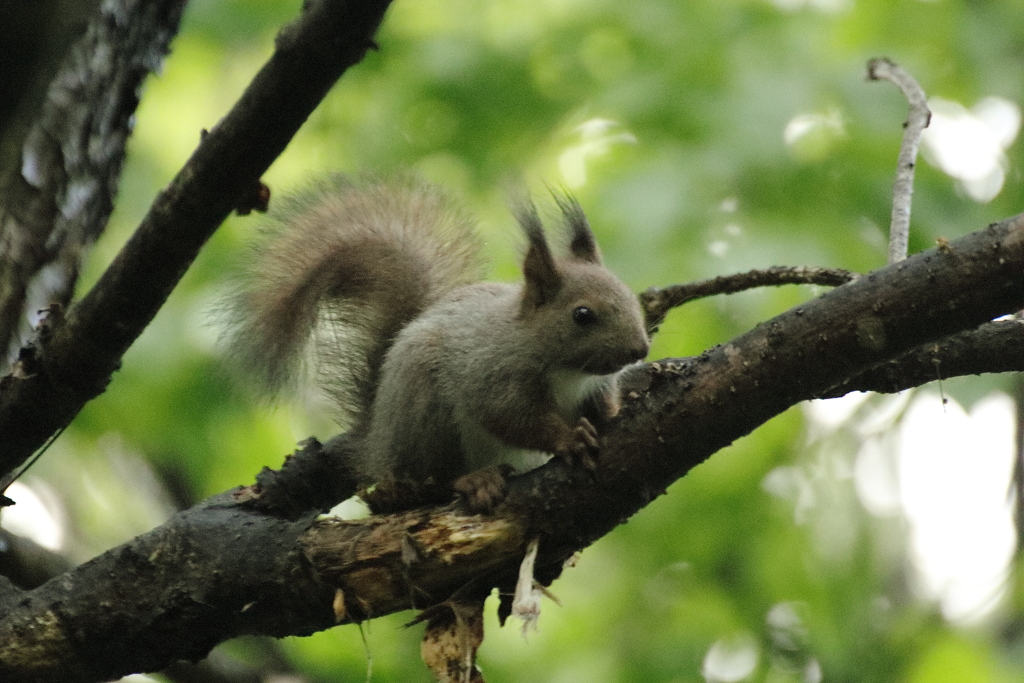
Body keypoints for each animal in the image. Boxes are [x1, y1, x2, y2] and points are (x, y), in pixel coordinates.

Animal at [224, 176, 651, 511]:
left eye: (629, 295)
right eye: (582, 314)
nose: (640, 351)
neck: (567, 369)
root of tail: (379, 445)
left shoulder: (595, 385)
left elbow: (601, 404)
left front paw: (616, 410)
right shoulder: (493, 373)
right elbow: (512, 417)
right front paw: (568, 437)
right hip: (426, 415)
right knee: (431, 480)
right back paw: (472, 481)